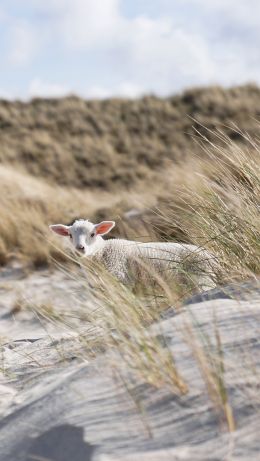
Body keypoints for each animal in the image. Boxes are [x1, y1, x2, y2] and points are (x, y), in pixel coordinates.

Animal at [49, 217, 216, 290]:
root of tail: (214, 258)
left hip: (202, 279)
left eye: (93, 234)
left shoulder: (122, 280)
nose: (80, 248)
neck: (102, 252)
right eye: (70, 235)